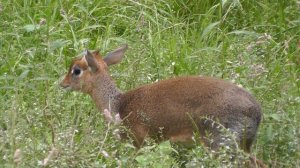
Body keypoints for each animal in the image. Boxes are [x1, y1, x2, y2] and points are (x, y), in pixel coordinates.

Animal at [59, 44, 266, 167]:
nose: (62, 84)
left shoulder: (138, 142)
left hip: (220, 144)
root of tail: (256, 112)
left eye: (76, 70)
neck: (118, 105)